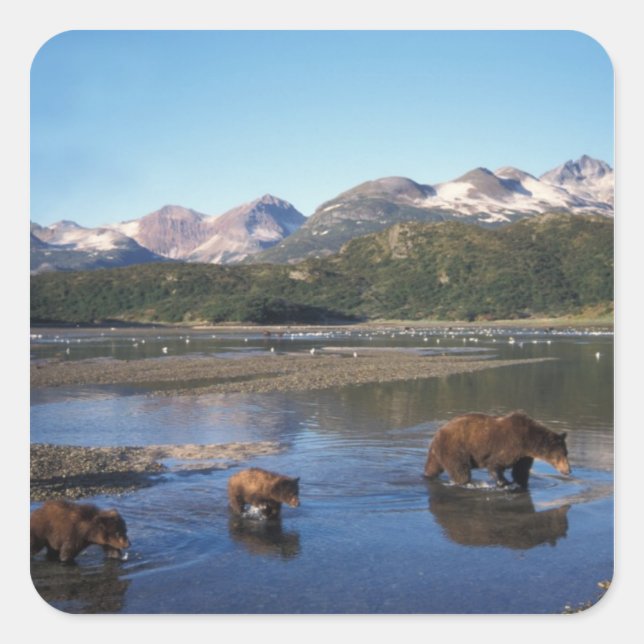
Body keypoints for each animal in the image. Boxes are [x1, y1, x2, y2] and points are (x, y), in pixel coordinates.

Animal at [423, 411, 571, 489]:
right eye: (561, 455)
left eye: (566, 453)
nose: (568, 470)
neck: (528, 441)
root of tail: (437, 434)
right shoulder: (510, 445)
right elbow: (495, 464)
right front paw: (505, 482)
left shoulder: (524, 456)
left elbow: (520, 471)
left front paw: (521, 483)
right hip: (455, 449)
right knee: (461, 471)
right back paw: (467, 483)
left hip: (439, 453)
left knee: (433, 467)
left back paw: (427, 475)